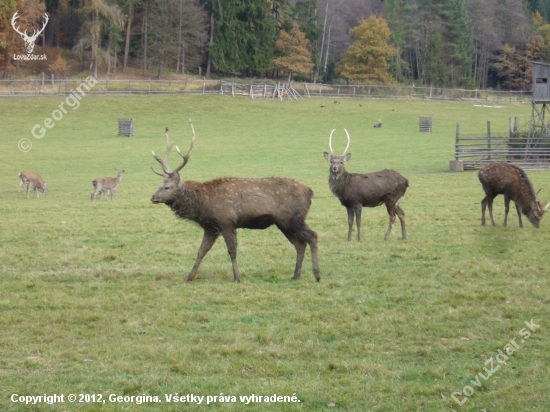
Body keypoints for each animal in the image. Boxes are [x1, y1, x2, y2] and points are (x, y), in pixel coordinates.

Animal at [152, 121, 324, 284]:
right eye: (160, 184)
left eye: (167, 187)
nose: (153, 197)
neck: (204, 204)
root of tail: (310, 192)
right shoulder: (211, 227)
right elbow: (201, 251)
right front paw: (190, 277)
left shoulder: (227, 222)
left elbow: (232, 251)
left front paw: (237, 277)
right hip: (283, 223)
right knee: (299, 244)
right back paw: (295, 276)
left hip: (293, 218)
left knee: (312, 236)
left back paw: (317, 275)